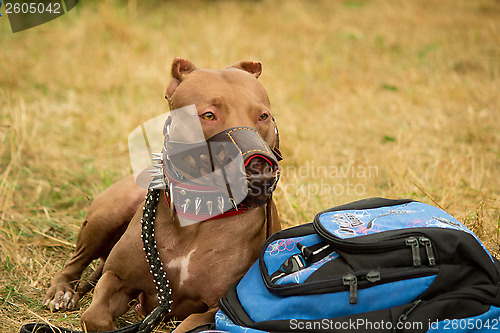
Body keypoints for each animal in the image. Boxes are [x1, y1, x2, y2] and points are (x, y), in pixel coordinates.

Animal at [44, 58, 282, 330]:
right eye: (208, 115)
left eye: (263, 116)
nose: (258, 166)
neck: (199, 211)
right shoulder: (117, 279)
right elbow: (94, 317)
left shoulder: (214, 311)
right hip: (106, 216)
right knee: (75, 261)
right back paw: (62, 292)